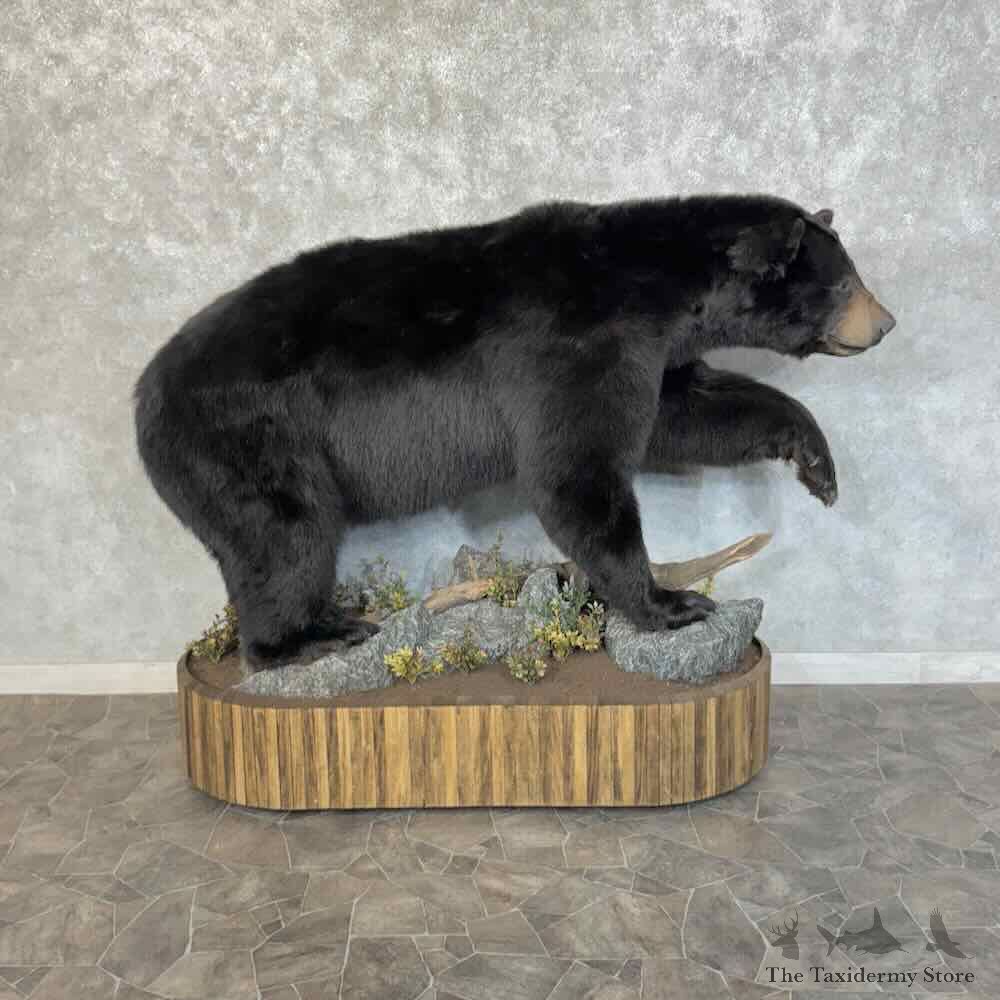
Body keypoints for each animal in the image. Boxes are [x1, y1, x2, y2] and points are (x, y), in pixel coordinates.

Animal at [133, 194, 895, 671]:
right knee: (285, 539)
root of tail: (143, 394)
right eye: (843, 283)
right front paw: (670, 602)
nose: (886, 323)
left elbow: (687, 413)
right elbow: (575, 470)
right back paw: (310, 638)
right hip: (246, 441)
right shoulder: (575, 346)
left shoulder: (650, 351)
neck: (653, 284)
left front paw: (815, 461)